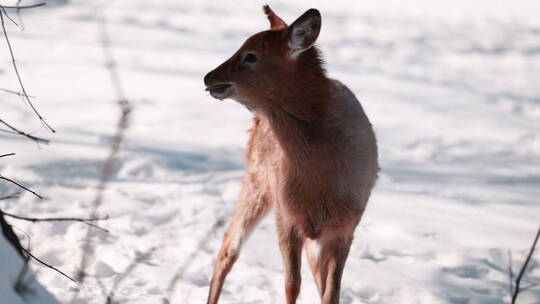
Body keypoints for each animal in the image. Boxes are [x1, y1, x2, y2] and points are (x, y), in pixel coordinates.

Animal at [204, 5, 380, 304]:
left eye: (250, 55)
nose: (209, 77)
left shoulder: (345, 227)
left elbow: (331, 292)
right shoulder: (287, 216)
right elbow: (291, 284)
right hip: (258, 183)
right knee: (228, 244)